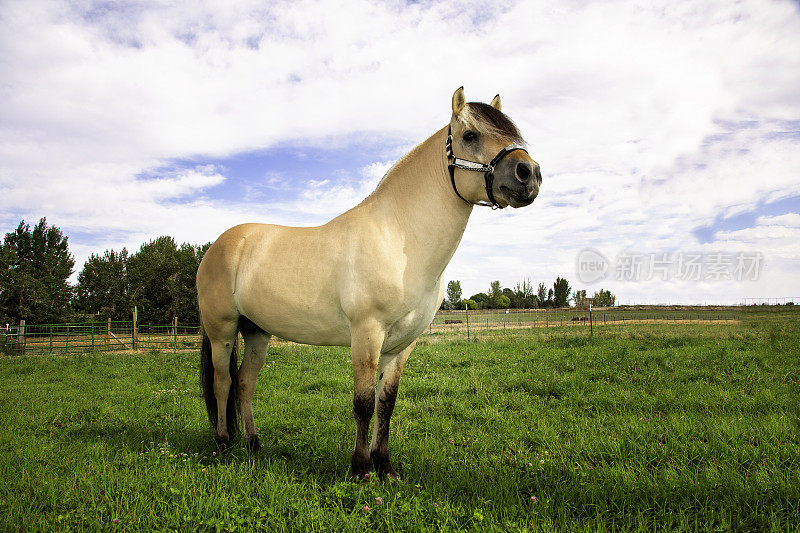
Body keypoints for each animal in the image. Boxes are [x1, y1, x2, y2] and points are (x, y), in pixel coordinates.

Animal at [197, 88, 540, 482]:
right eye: (470, 135)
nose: (529, 173)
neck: (400, 236)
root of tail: (218, 246)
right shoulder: (367, 333)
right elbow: (363, 403)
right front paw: (360, 469)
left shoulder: (401, 345)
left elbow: (385, 403)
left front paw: (385, 467)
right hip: (223, 331)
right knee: (222, 382)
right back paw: (224, 444)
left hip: (256, 333)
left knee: (244, 383)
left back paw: (254, 445)